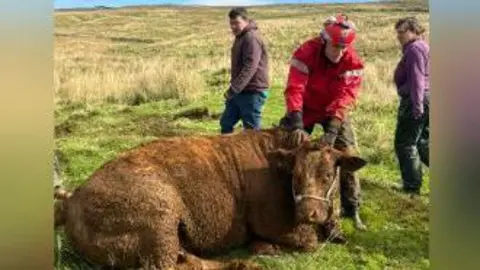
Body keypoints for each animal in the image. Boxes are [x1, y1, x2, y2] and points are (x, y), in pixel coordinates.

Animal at [54, 127, 366, 268]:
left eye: (329, 174)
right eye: (295, 176)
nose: (307, 213)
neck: (275, 164)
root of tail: (73, 199)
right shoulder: (277, 227)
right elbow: (309, 241)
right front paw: (265, 247)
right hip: (161, 217)